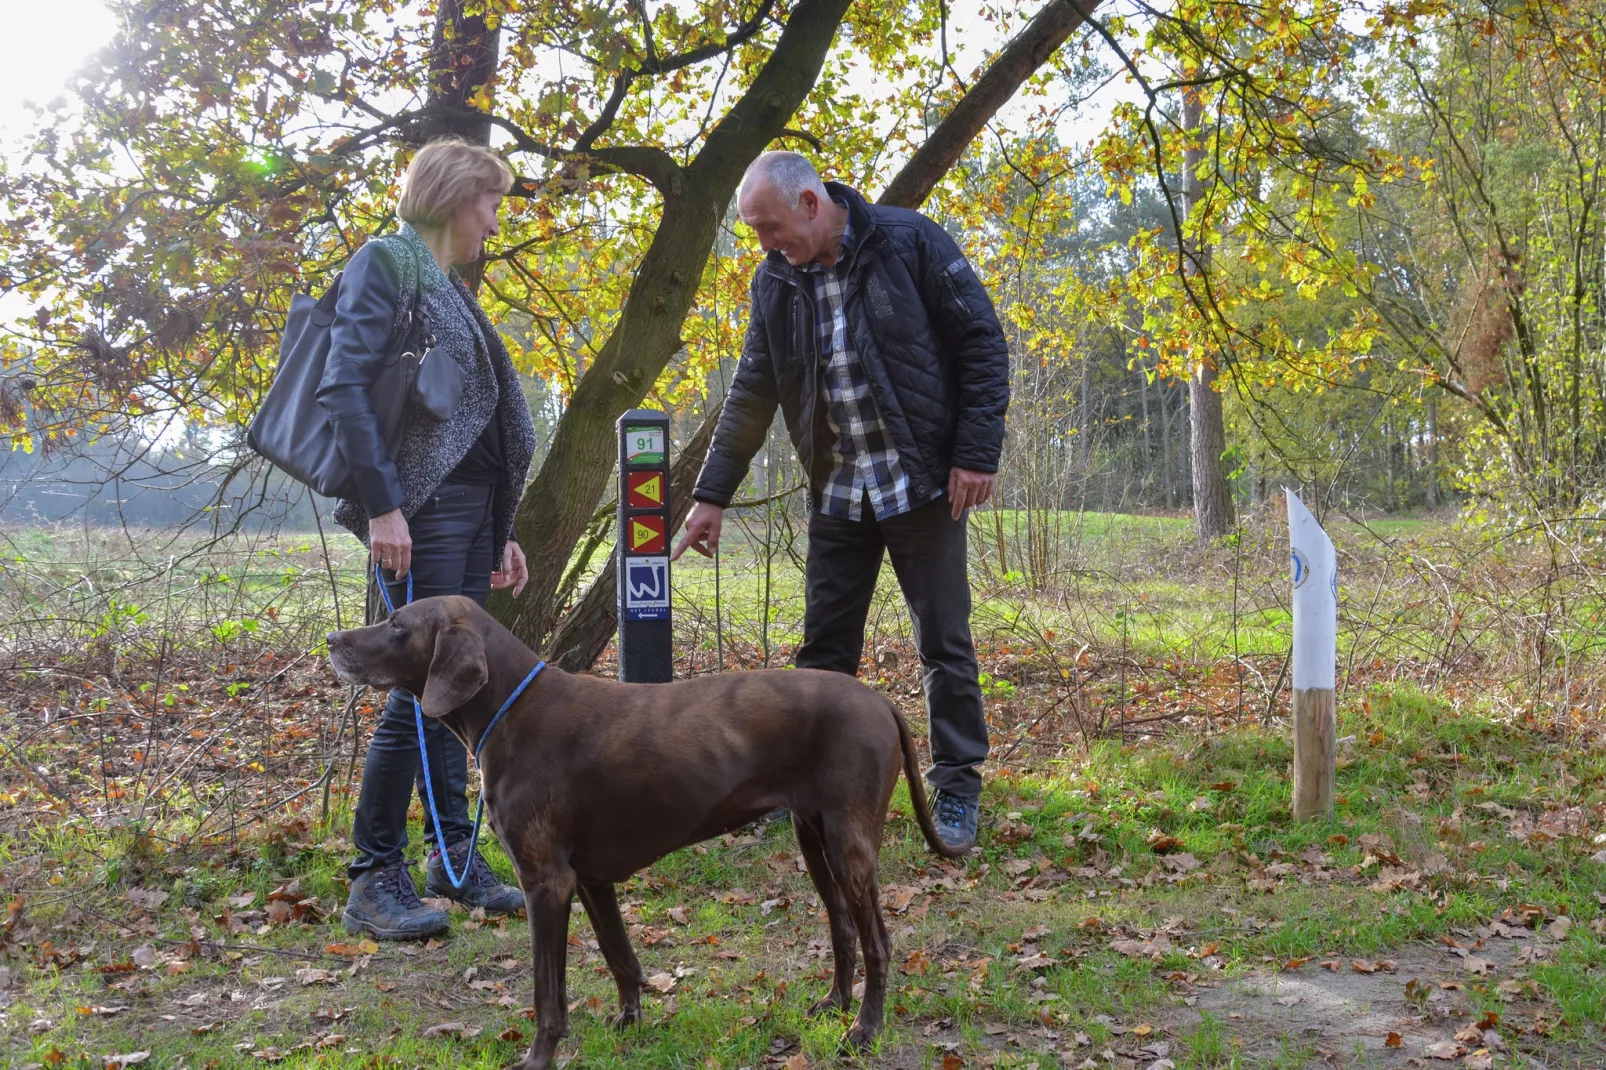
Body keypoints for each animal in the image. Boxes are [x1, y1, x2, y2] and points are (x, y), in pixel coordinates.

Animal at [319, 594, 957, 1060]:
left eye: (397, 624)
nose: (332, 640)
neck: (509, 709)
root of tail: (880, 701)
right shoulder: (588, 878)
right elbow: (619, 955)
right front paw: (630, 1019)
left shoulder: (545, 882)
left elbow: (548, 994)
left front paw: (538, 1058)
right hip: (814, 837)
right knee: (843, 929)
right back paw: (835, 1003)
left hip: (849, 844)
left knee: (878, 941)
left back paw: (866, 1028)